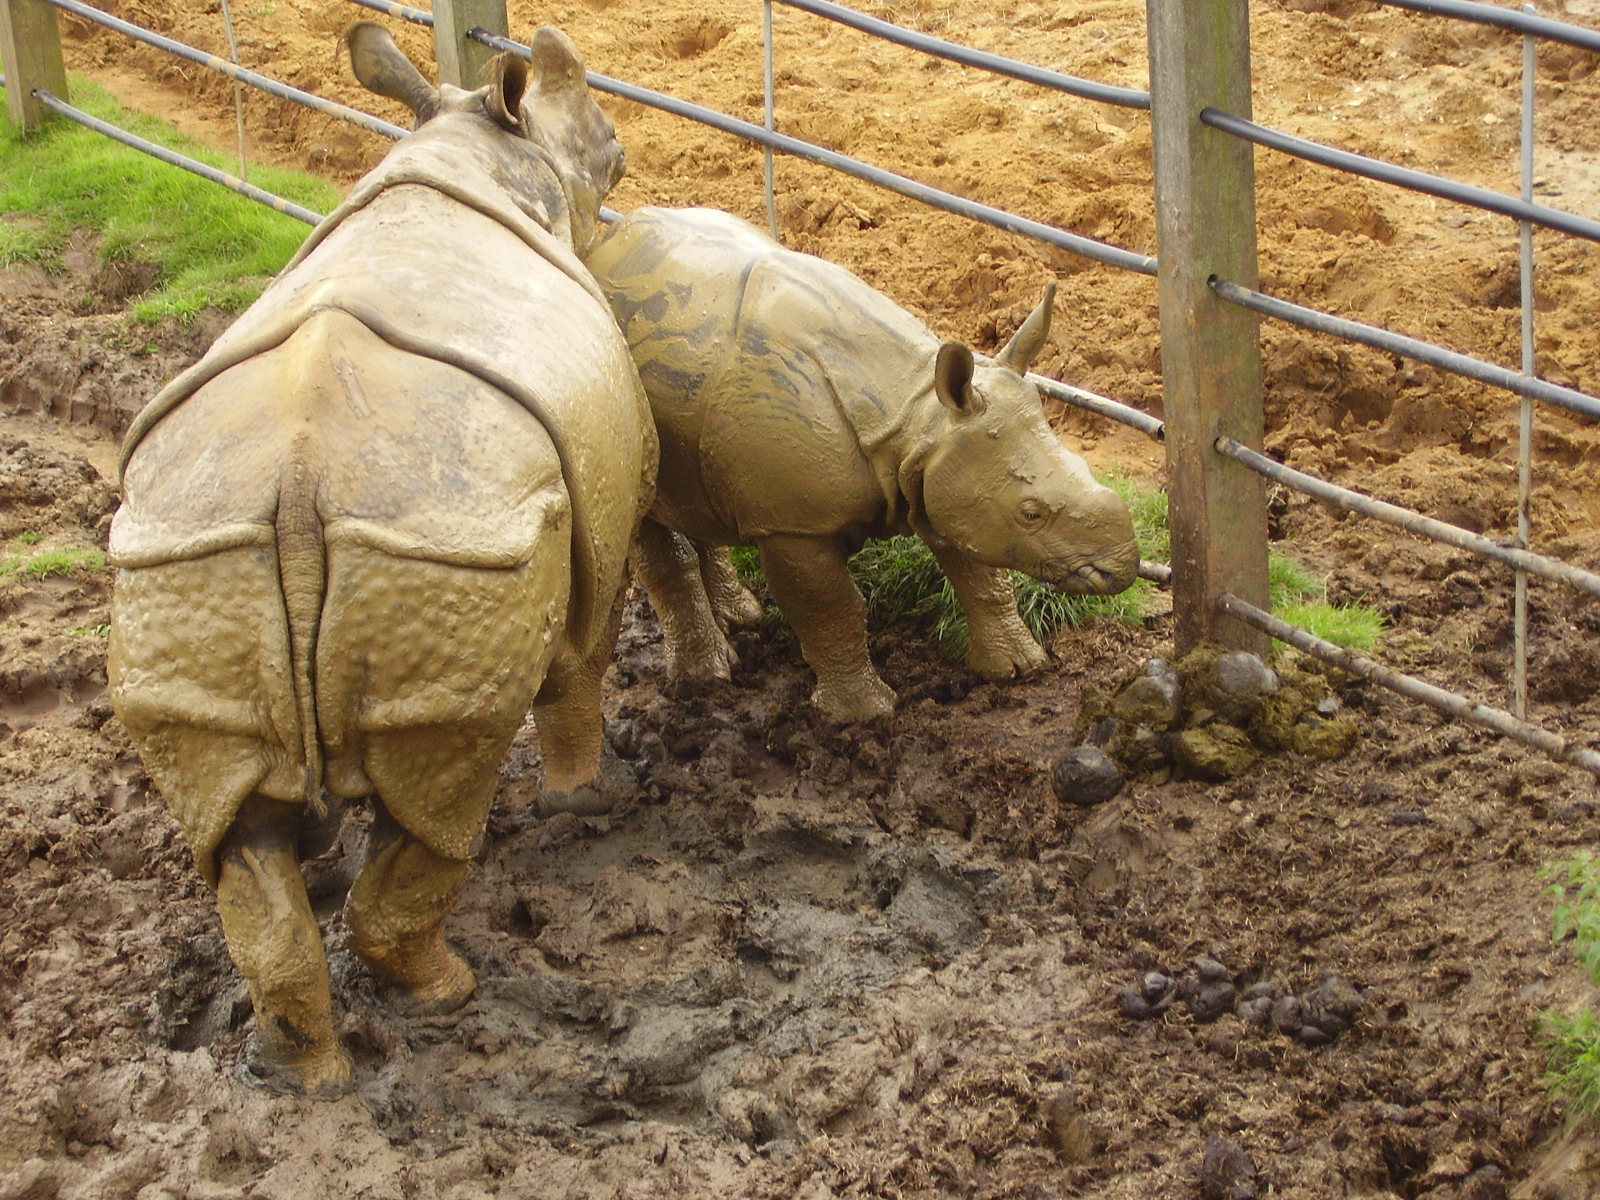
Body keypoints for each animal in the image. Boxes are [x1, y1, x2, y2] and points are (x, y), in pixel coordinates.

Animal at [107, 23, 655, 1096]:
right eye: (610, 156)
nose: (625, 168)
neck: (492, 147)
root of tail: (297, 481)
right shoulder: (593, 528)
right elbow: (580, 663)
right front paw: (589, 798)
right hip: (444, 540)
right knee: (452, 787)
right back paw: (449, 993)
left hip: (183, 555)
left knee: (235, 837)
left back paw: (292, 1071)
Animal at [586, 206, 1140, 722]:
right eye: (1031, 513)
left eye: (1085, 466)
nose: (1124, 566)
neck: (913, 410)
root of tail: (607, 241)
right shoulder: (793, 524)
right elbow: (832, 610)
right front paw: (863, 715)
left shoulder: (940, 470)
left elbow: (981, 574)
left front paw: (1019, 669)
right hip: (616, 392)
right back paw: (707, 680)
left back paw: (742, 618)